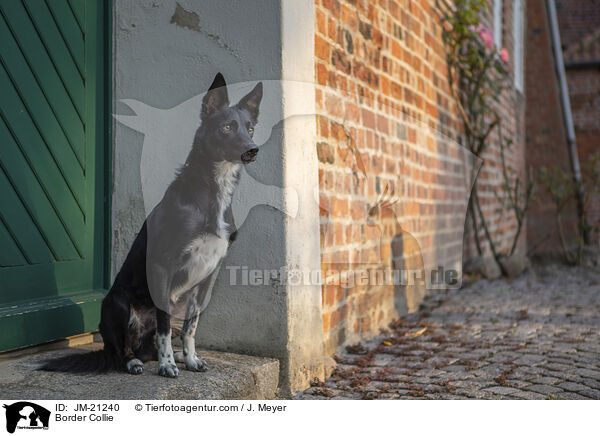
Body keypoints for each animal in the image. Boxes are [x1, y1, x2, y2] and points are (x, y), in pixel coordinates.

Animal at [38, 73, 262, 376]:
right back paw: (135, 361)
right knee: (119, 351)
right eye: (227, 127)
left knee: (151, 345)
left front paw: (190, 358)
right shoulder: (161, 266)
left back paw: (170, 356)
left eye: (250, 129)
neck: (212, 189)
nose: (252, 150)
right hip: (116, 304)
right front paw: (168, 365)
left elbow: (191, 326)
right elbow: (164, 326)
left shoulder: (208, 276)